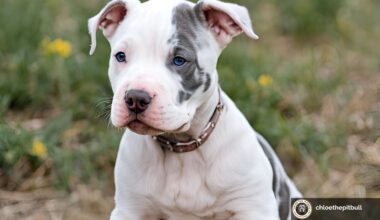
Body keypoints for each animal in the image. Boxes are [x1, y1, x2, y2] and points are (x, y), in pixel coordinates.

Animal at [88, 0, 300, 218]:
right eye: (120, 56)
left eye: (179, 60)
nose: (135, 98)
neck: (182, 148)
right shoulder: (129, 209)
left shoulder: (254, 208)